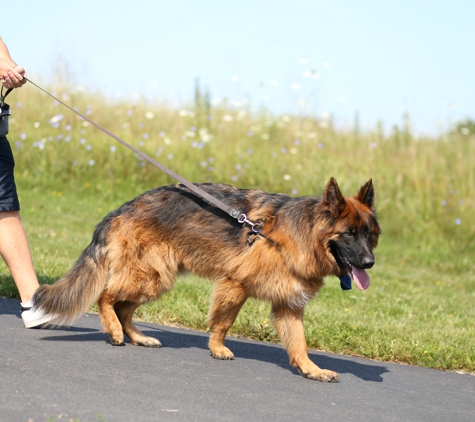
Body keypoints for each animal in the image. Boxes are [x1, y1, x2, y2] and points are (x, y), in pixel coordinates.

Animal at [34, 177, 380, 382]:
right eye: (349, 234)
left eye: (369, 234)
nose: (370, 263)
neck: (301, 234)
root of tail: (122, 208)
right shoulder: (235, 284)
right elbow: (223, 322)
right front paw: (217, 348)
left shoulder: (288, 305)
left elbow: (299, 343)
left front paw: (311, 369)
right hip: (151, 277)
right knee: (106, 297)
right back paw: (116, 332)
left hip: (155, 279)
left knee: (123, 308)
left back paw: (137, 337)